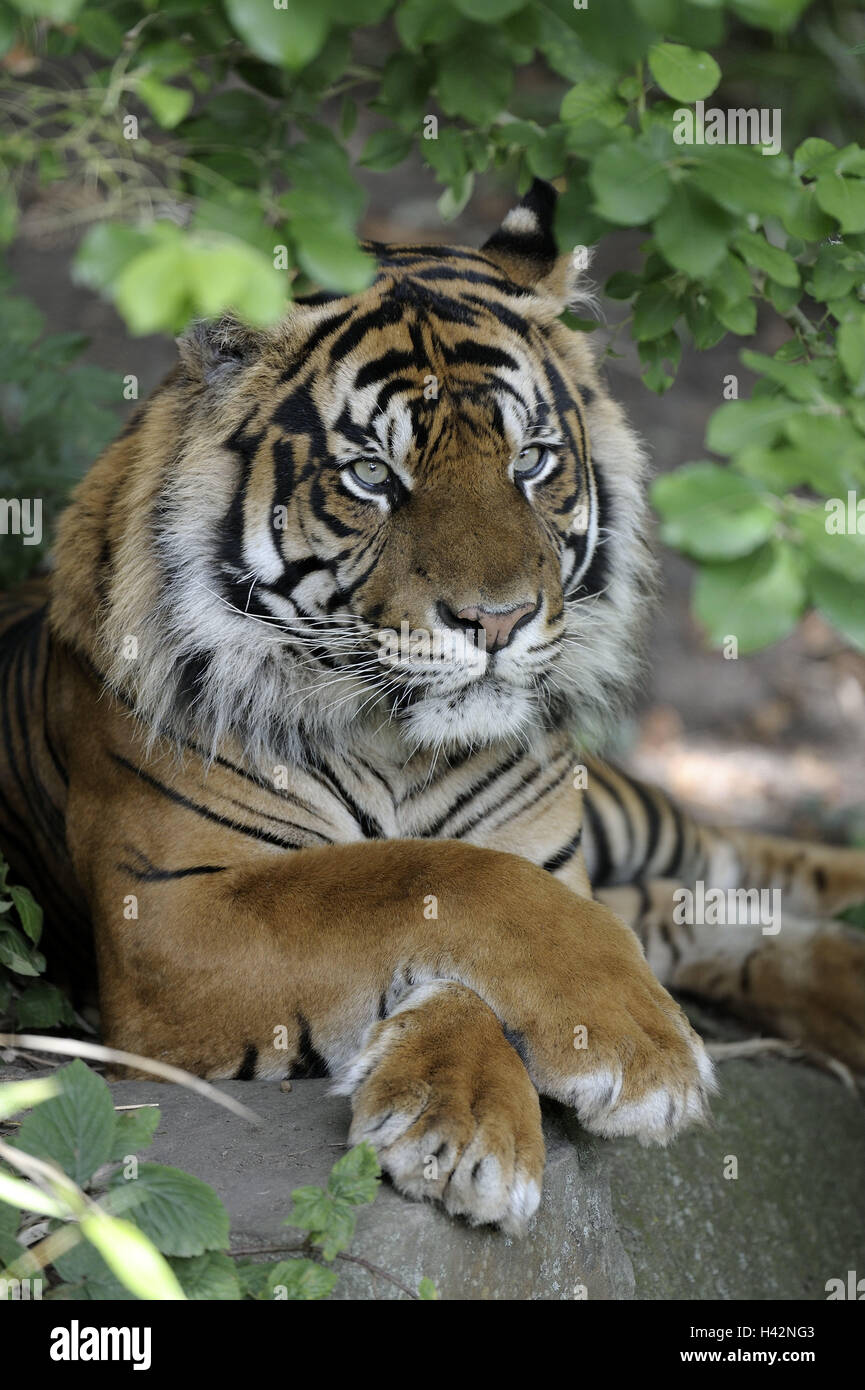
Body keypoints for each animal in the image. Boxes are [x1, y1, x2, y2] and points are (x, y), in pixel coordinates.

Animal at [1, 179, 865, 1234]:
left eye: (530, 461)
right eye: (373, 475)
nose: (495, 620)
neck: (399, 745)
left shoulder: (553, 862)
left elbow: (473, 895)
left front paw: (489, 1104)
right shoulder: (168, 915)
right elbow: (426, 879)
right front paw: (516, 1096)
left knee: (741, 867)